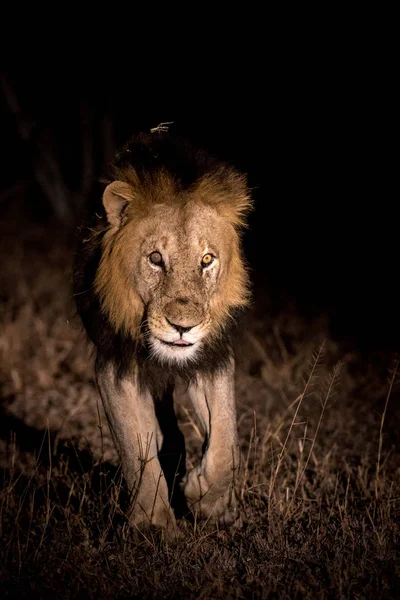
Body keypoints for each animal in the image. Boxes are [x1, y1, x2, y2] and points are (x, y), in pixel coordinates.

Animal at [73, 132, 252, 536]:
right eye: (155, 259)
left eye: (206, 260)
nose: (183, 326)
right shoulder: (115, 365)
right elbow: (134, 446)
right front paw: (154, 523)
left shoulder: (213, 358)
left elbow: (226, 443)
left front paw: (206, 497)